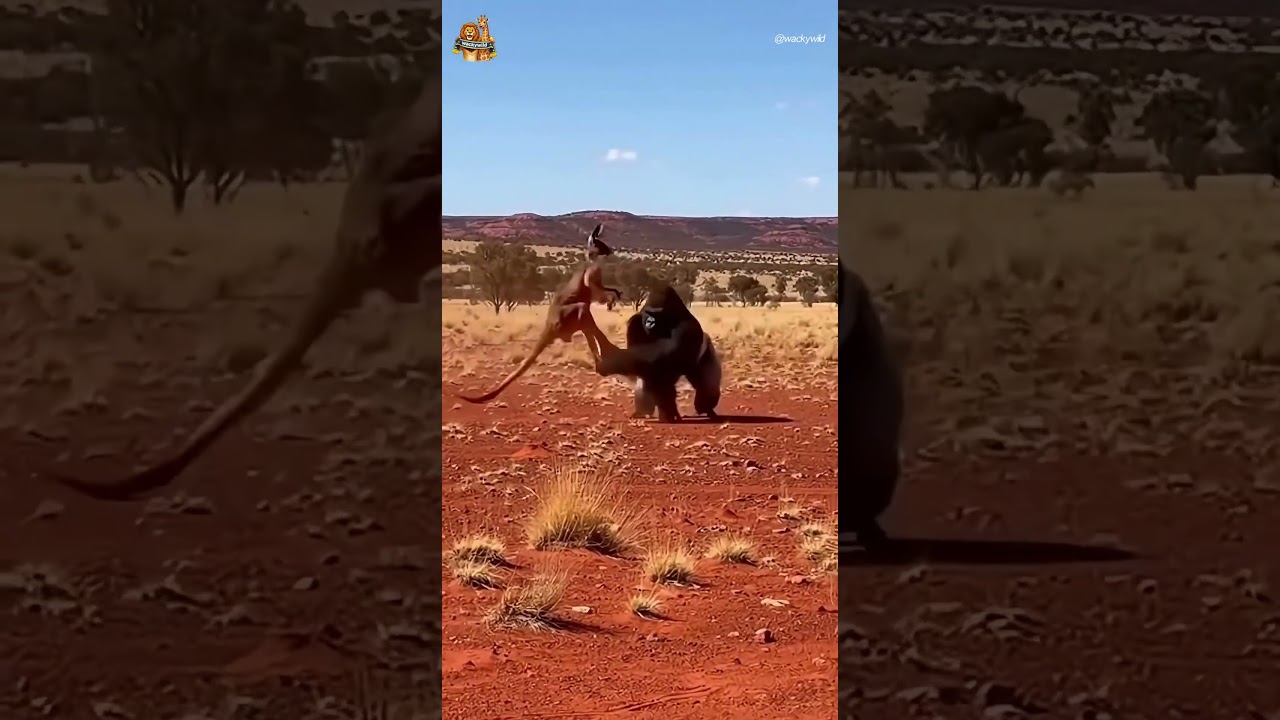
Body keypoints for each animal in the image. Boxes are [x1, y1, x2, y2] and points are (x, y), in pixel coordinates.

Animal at [457, 224, 623, 404]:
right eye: (600, 244)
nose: (611, 251)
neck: (592, 259)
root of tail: (549, 325)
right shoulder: (591, 275)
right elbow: (593, 287)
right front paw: (611, 300)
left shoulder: (597, 280)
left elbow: (604, 290)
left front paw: (614, 296)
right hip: (569, 317)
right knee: (584, 311)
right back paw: (607, 356)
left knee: (588, 327)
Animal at [591, 282, 720, 423]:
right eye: (648, 313)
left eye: (658, 314)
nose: (650, 322)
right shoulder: (635, 322)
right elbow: (644, 364)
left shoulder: (688, 327)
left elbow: (664, 360)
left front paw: (608, 362)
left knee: (706, 386)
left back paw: (705, 409)